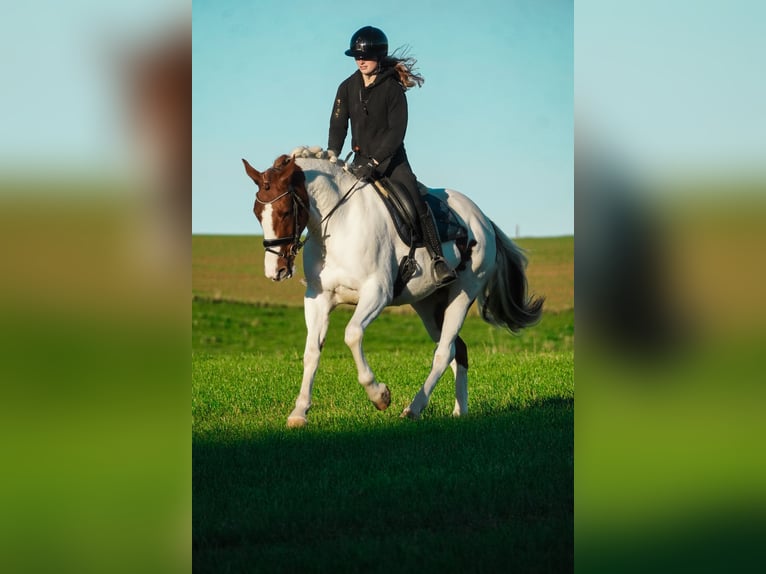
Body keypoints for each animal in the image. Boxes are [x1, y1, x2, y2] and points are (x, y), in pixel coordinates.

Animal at [242, 146, 544, 427]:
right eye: (257, 213)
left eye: (284, 212)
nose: (275, 271)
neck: (339, 224)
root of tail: (482, 219)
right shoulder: (318, 298)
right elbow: (311, 352)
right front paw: (299, 412)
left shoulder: (377, 292)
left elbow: (352, 334)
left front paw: (380, 396)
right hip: (428, 304)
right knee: (458, 349)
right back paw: (460, 412)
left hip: (463, 292)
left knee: (444, 351)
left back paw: (414, 408)